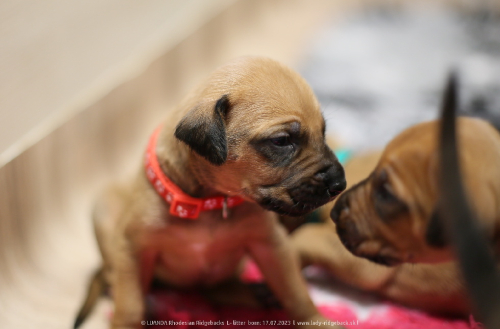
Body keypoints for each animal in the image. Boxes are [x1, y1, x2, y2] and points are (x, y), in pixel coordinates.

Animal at [75, 57, 348, 328]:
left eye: (323, 132)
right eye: (281, 141)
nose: (340, 184)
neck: (210, 202)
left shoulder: (270, 244)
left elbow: (295, 291)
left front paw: (315, 320)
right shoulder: (133, 248)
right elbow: (130, 305)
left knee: (217, 289)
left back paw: (257, 294)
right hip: (104, 211)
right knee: (114, 278)